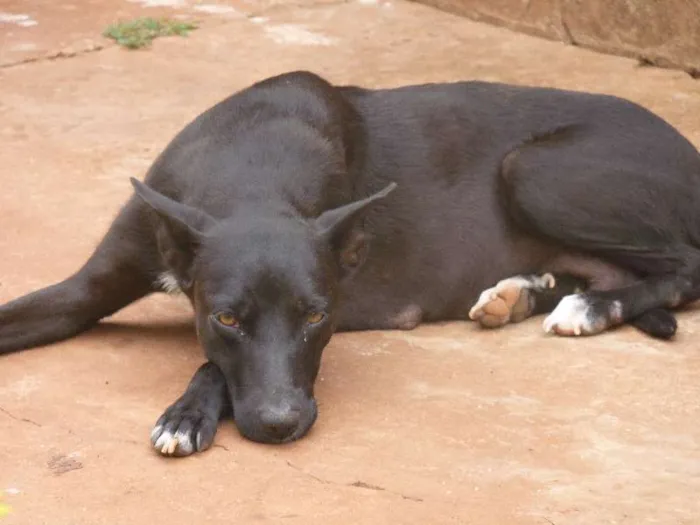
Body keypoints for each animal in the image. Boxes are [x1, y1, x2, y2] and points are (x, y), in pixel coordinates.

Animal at [1, 70, 700, 454]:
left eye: (317, 317)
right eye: (226, 319)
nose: (281, 426)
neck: (250, 168)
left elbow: (210, 366)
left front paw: (186, 413)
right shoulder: (90, 286)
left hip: (532, 169)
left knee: (685, 267)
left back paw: (592, 306)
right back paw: (522, 292)